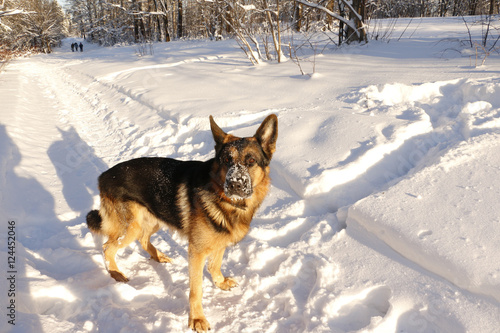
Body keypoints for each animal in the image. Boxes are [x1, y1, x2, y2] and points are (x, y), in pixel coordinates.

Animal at [86, 113, 278, 330]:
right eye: (227, 160)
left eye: (251, 160)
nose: (234, 184)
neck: (225, 199)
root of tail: (103, 176)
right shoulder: (196, 252)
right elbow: (196, 290)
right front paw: (197, 319)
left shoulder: (219, 242)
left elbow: (215, 265)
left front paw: (219, 282)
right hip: (132, 226)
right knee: (108, 247)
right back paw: (116, 273)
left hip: (154, 217)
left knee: (142, 239)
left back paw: (158, 256)